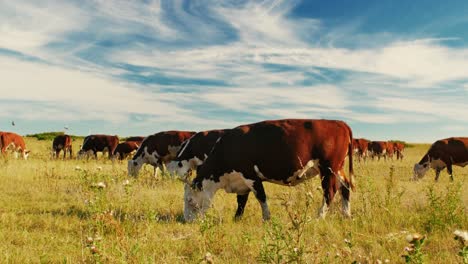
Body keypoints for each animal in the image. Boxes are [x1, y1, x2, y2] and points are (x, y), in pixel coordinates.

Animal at [184, 118, 354, 222]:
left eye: (190, 200)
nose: (186, 221)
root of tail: (340, 123)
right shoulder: (240, 181)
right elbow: (241, 201)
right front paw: (237, 218)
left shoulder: (250, 176)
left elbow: (261, 197)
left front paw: (267, 218)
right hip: (338, 169)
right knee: (345, 186)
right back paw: (346, 214)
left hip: (328, 169)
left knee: (330, 192)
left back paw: (319, 217)